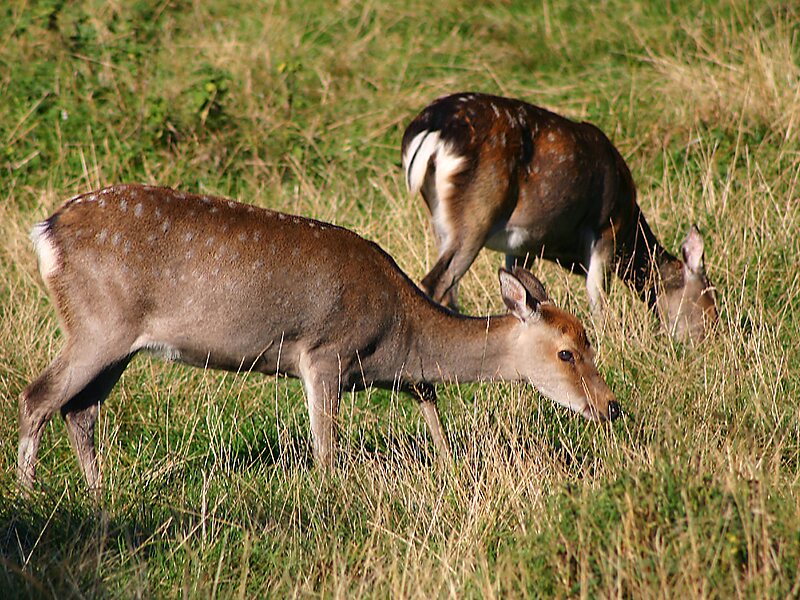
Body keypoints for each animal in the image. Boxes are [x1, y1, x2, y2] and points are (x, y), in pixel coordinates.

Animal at [18, 184, 619, 491]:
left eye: (590, 341)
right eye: (566, 351)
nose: (611, 406)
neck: (401, 333)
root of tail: (46, 234)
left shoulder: (395, 375)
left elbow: (429, 398)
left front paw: (451, 465)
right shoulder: (325, 352)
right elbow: (327, 449)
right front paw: (330, 500)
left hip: (120, 342)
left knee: (80, 409)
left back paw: (99, 497)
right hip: (98, 323)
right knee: (38, 396)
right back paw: (29, 501)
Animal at [402, 92, 718, 343]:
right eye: (710, 300)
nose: (711, 339)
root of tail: (429, 130)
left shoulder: (522, 245)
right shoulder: (605, 230)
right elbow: (597, 296)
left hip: (441, 220)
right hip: (477, 211)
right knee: (436, 282)